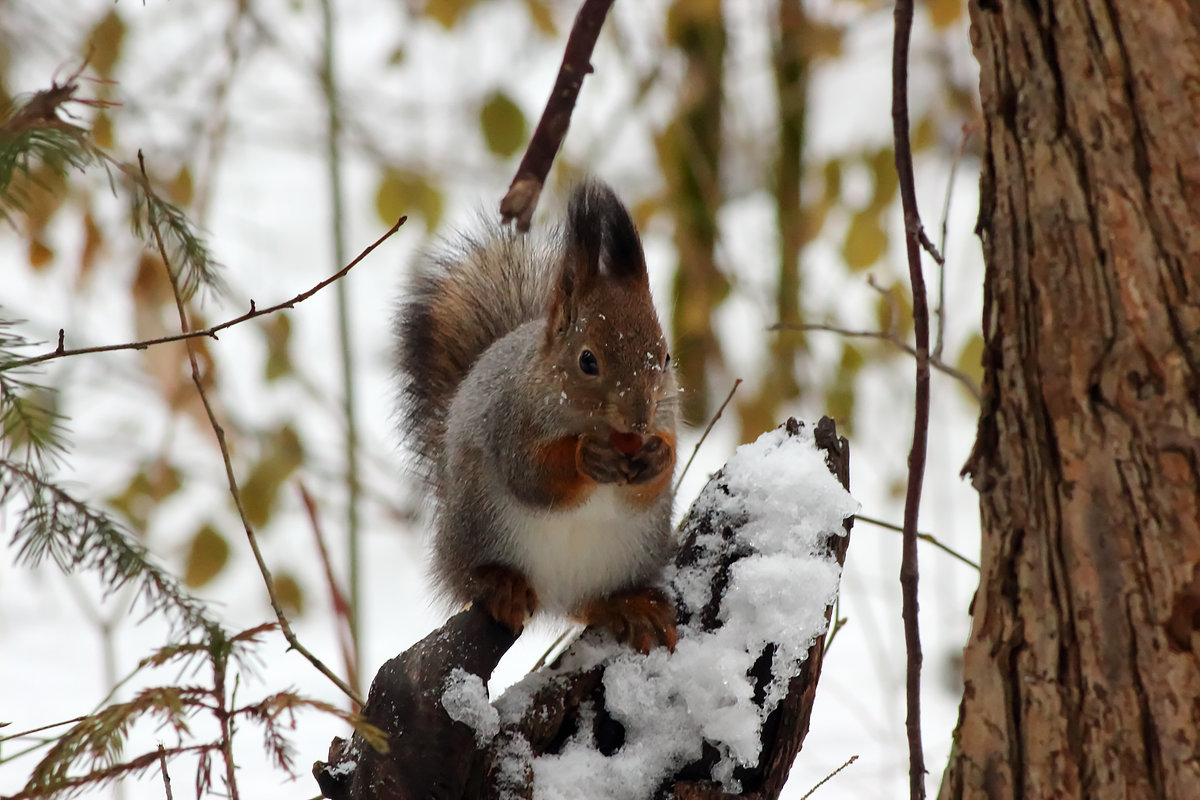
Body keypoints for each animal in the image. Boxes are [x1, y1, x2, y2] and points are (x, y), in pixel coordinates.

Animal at [393, 178, 676, 652]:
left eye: (666, 356)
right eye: (587, 361)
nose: (639, 420)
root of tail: (550, 593)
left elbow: (649, 489)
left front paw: (658, 457)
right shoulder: (511, 419)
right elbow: (532, 475)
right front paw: (586, 457)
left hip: (629, 552)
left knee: (587, 604)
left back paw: (627, 606)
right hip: (480, 521)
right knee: (468, 579)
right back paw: (500, 584)